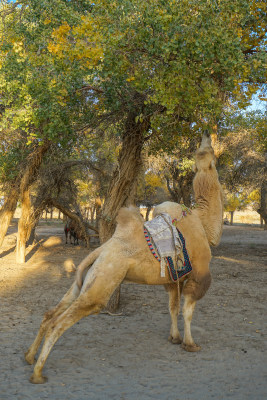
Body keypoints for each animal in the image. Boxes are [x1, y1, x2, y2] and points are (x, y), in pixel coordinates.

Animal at [24, 130, 224, 382]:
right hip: (104, 280)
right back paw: (38, 373)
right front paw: (190, 344)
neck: (203, 224)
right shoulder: (199, 273)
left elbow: (173, 307)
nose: (206, 133)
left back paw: (29, 357)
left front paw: (174, 338)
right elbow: (188, 310)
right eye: (210, 151)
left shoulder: (171, 279)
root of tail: (100, 249)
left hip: (88, 277)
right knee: (59, 323)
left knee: (50, 313)